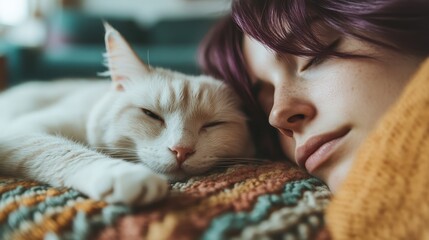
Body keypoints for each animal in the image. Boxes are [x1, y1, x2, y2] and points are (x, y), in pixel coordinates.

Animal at [0, 23, 254, 205]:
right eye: (151, 114)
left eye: (213, 124)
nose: (181, 151)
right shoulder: (19, 131)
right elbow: (65, 151)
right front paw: (124, 174)